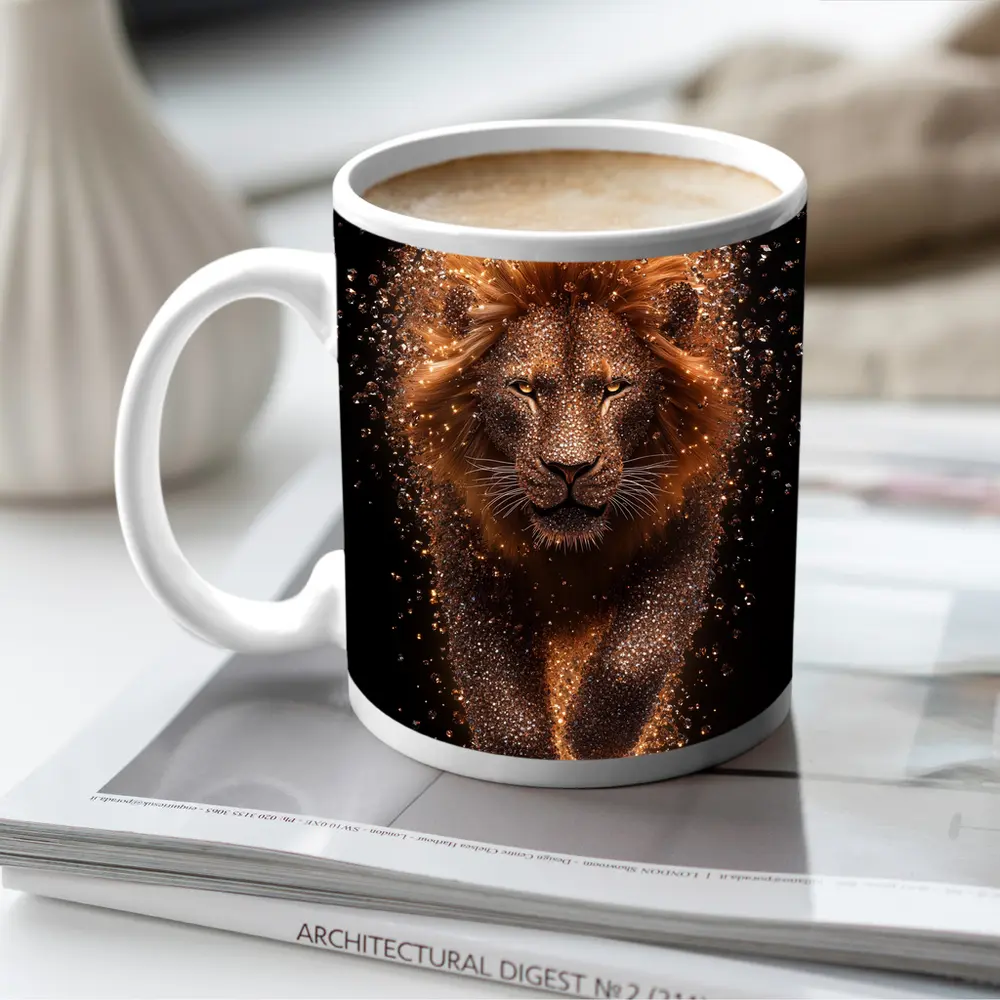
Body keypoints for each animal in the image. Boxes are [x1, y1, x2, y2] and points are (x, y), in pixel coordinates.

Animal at [388, 252, 742, 761]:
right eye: (524, 388)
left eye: (615, 388)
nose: (569, 468)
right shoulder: (467, 549)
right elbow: (501, 700)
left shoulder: (686, 524)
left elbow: (637, 655)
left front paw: (594, 740)